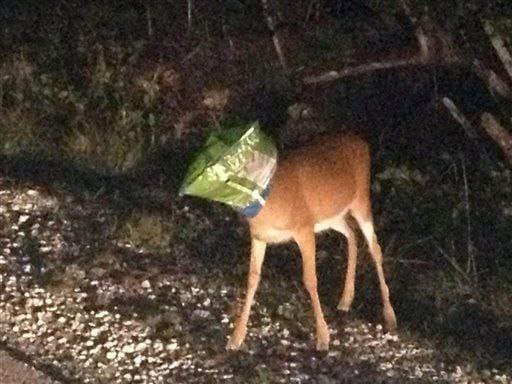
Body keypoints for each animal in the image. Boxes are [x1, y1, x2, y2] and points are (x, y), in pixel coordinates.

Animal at [224, 132, 396, 352]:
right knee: (351, 234)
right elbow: (253, 278)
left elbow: (310, 279)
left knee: (375, 248)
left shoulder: (304, 228)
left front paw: (323, 337)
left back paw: (389, 315)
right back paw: (346, 299)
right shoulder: (259, 236)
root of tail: (361, 141)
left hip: (361, 201)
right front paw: (236, 337)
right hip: (331, 216)